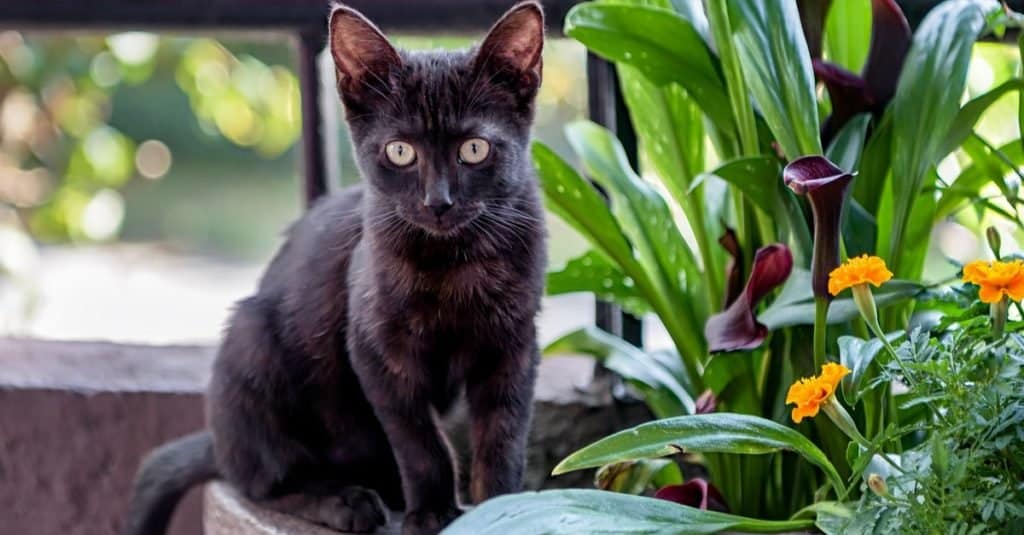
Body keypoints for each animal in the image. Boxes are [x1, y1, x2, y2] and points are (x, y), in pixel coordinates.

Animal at [121, 4, 544, 532]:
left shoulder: (514, 349)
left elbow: (502, 439)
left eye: (473, 149)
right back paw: (345, 501)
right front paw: (431, 512)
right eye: (400, 151)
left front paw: (501, 510)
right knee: (263, 481)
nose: (438, 202)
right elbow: (419, 442)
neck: (454, 265)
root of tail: (220, 443)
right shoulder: (376, 351)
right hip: (252, 343)